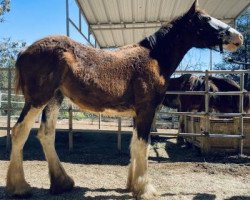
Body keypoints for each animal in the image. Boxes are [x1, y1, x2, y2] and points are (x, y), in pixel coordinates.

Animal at [6, 1, 243, 198]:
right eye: (206, 19)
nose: (238, 37)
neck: (154, 58)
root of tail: (24, 51)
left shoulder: (138, 113)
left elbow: (134, 146)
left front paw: (132, 185)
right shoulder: (147, 110)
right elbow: (143, 146)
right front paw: (145, 190)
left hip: (54, 99)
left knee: (46, 134)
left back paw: (62, 183)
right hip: (37, 99)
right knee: (19, 131)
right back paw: (19, 187)